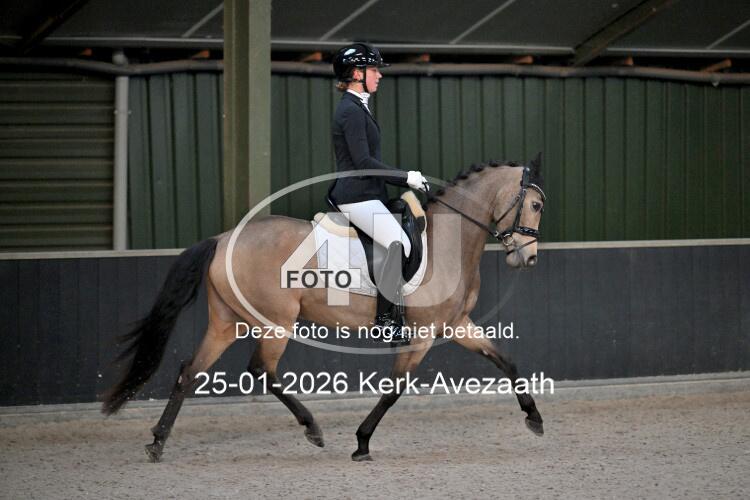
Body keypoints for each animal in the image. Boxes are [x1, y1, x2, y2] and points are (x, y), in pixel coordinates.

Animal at [101, 156, 547, 462]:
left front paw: (535, 419)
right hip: (275, 323)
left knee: (189, 371)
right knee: (261, 370)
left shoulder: (456, 325)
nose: (527, 258)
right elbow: (394, 390)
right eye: (537, 206)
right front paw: (362, 442)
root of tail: (224, 238)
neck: (448, 244)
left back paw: (158, 442)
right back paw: (312, 428)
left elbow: (506, 361)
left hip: (226, 322)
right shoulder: (420, 337)